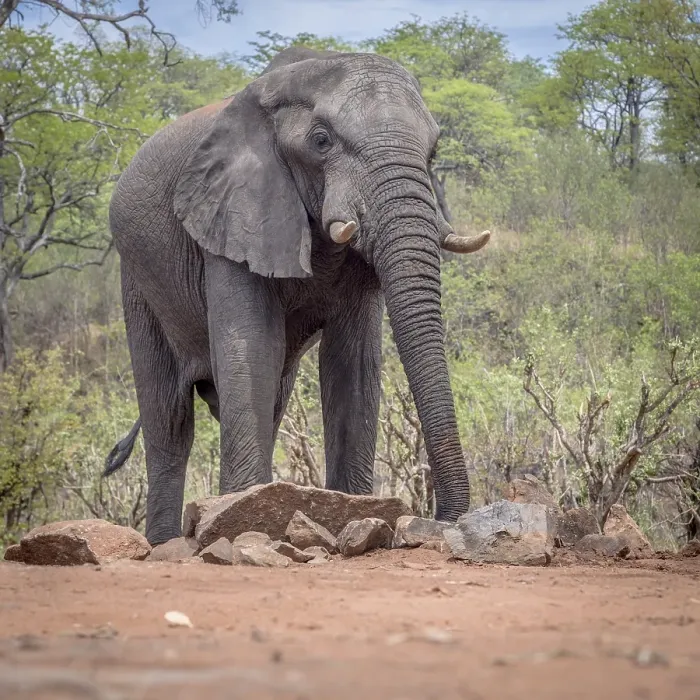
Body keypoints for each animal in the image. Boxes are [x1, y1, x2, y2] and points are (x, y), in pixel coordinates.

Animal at [104, 46, 490, 545]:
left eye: (434, 151)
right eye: (321, 141)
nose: (443, 521)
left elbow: (352, 361)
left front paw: (351, 511)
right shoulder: (232, 211)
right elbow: (252, 349)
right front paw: (242, 524)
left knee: (270, 401)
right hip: (135, 278)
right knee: (169, 419)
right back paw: (166, 542)